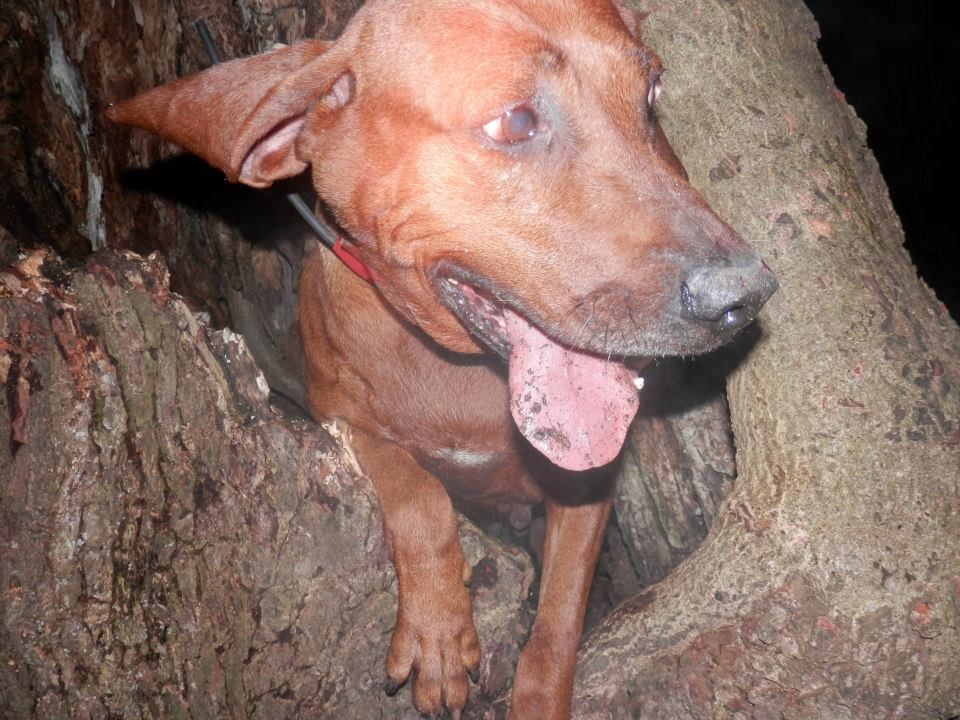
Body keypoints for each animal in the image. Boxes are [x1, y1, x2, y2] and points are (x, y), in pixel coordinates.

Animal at [107, 0, 776, 716]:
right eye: (515, 122)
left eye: (651, 94)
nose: (744, 295)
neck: (461, 373)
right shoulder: (339, 420)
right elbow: (417, 491)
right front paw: (437, 625)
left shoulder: (587, 487)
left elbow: (558, 619)